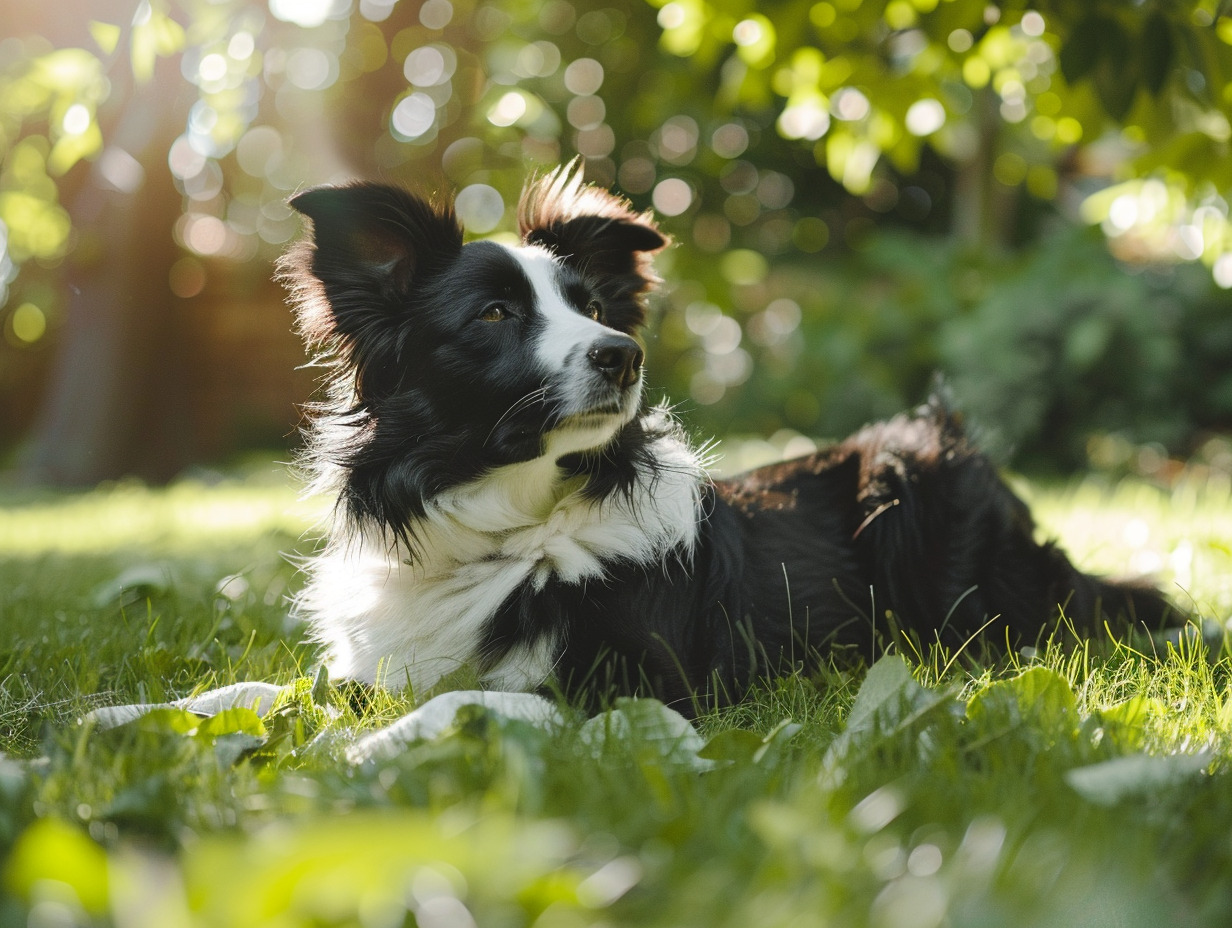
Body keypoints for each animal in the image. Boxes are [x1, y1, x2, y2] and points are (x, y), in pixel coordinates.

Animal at [279, 162, 1172, 714]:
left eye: (593, 307)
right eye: (495, 313)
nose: (623, 354)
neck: (505, 532)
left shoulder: (635, 687)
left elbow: (469, 700)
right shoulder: (366, 669)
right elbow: (296, 692)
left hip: (913, 486)